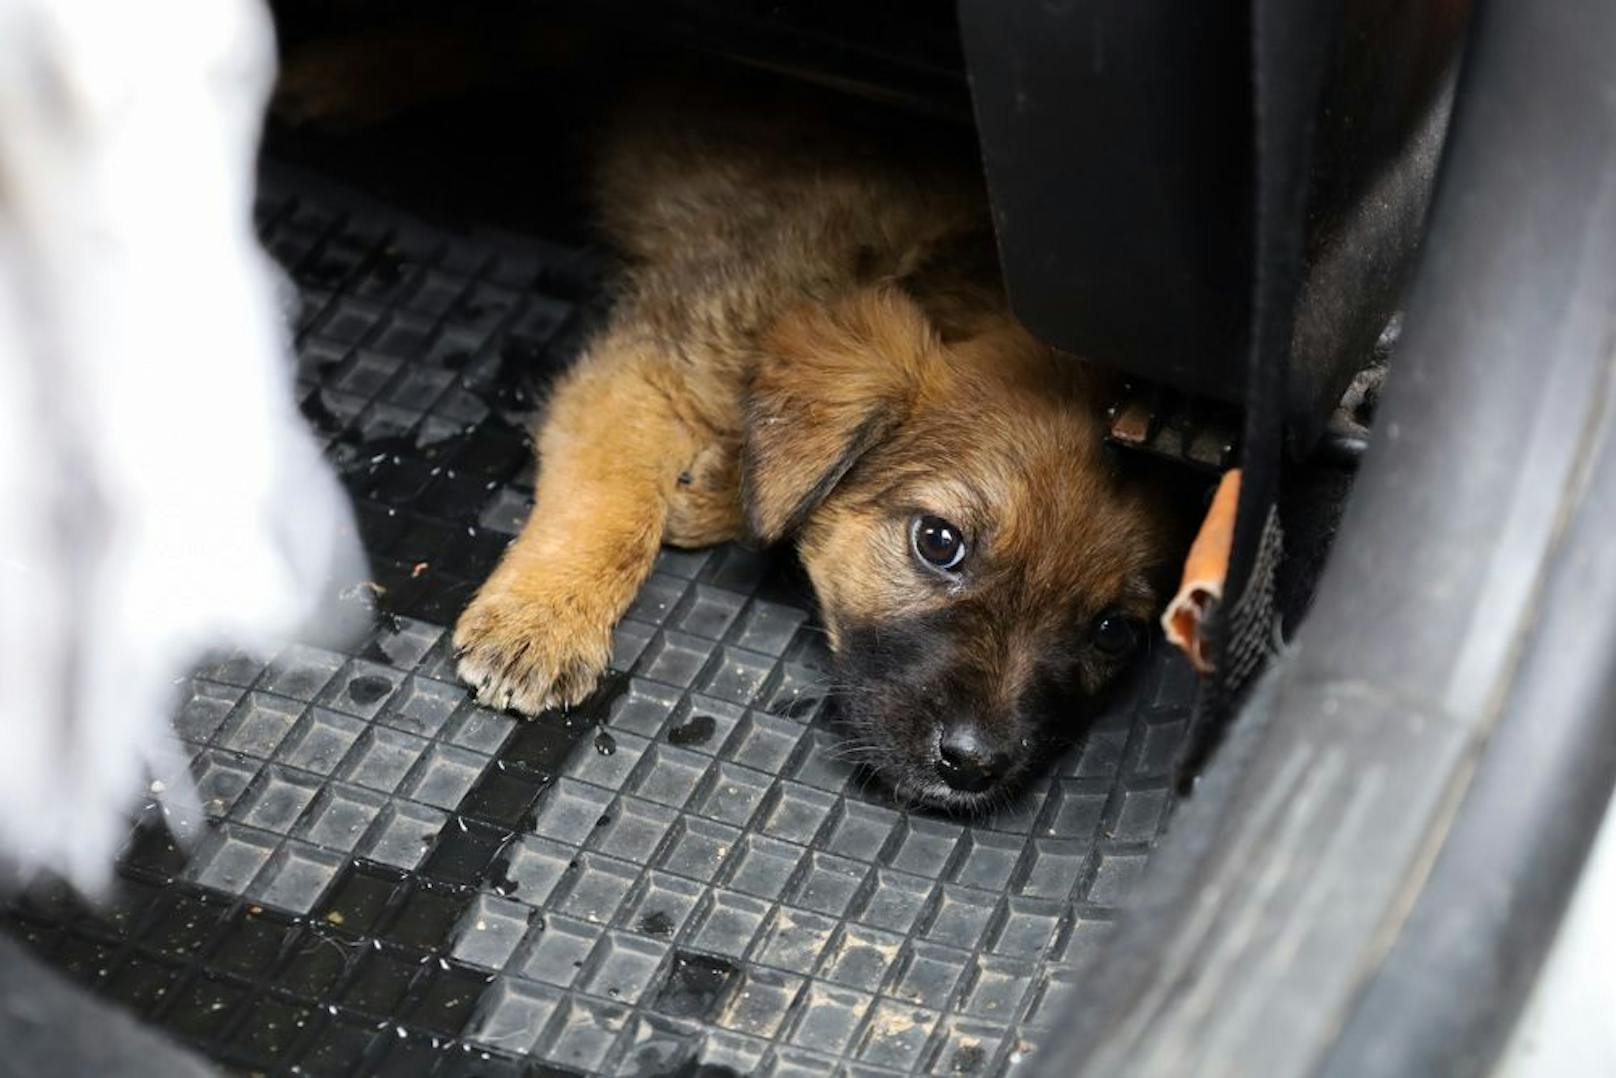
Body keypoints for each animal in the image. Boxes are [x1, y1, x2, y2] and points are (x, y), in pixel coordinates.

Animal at [449, 84, 1182, 808]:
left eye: (1113, 632)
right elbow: (615, 505)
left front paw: (714, 489)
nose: (974, 766)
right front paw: (544, 621)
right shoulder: (649, 368)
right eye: (938, 541)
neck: (920, 262)